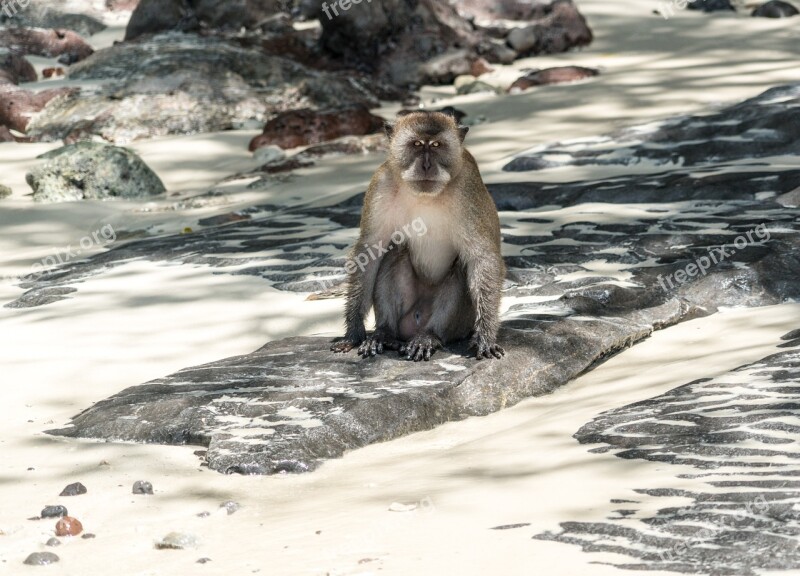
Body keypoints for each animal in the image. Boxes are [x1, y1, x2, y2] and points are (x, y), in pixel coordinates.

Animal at [328, 110, 504, 362]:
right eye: (417, 144)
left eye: (437, 145)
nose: (427, 165)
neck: (425, 196)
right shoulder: (381, 183)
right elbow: (369, 252)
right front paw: (353, 332)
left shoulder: (467, 188)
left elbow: (482, 258)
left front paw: (486, 336)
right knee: (395, 250)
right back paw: (384, 333)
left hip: (460, 324)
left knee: (461, 265)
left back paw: (428, 336)